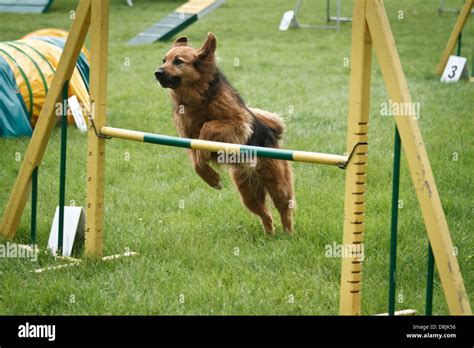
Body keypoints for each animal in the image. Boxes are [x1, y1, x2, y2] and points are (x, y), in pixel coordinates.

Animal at [156, 33, 294, 234]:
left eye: (178, 61)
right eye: (164, 60)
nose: (157, 73)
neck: (198, 97)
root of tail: (273, 133)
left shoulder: (239, 123)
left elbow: (207, 127)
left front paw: (206, 157)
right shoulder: (188, 139)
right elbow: (196, 163)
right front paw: (211, 178)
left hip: (277, 184)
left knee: (285, 211)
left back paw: (288, 235)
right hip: (248, 194)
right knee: (266, 215)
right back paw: (269, 236)